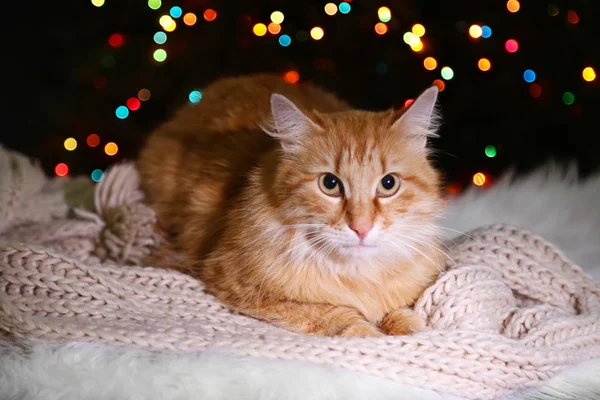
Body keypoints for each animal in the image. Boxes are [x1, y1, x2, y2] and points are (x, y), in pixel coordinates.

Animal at [137, 73, 446, 336]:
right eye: (330, 184)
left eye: (388, 184)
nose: (361, 228)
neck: (358, 275)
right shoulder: (237, 284)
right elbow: (331, 313)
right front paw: (366, 331)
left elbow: (398, 309)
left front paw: (406, 326)